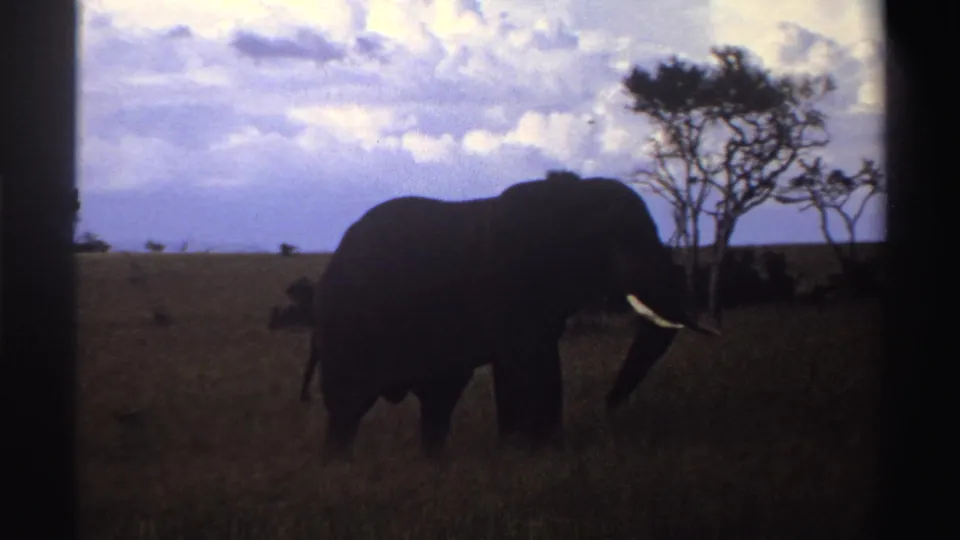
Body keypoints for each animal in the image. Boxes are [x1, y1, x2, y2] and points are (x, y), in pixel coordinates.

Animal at [305, 174, 719, 460]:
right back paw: (339, 467)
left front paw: (540, 451)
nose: (609, 407)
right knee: (349, 404)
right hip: (347, 326)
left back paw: (434, 464)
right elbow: (523, 366)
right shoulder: (509, 284)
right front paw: (527, 453)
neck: (568, 195)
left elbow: (541, 365)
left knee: (437, 401)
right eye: (618, 239)